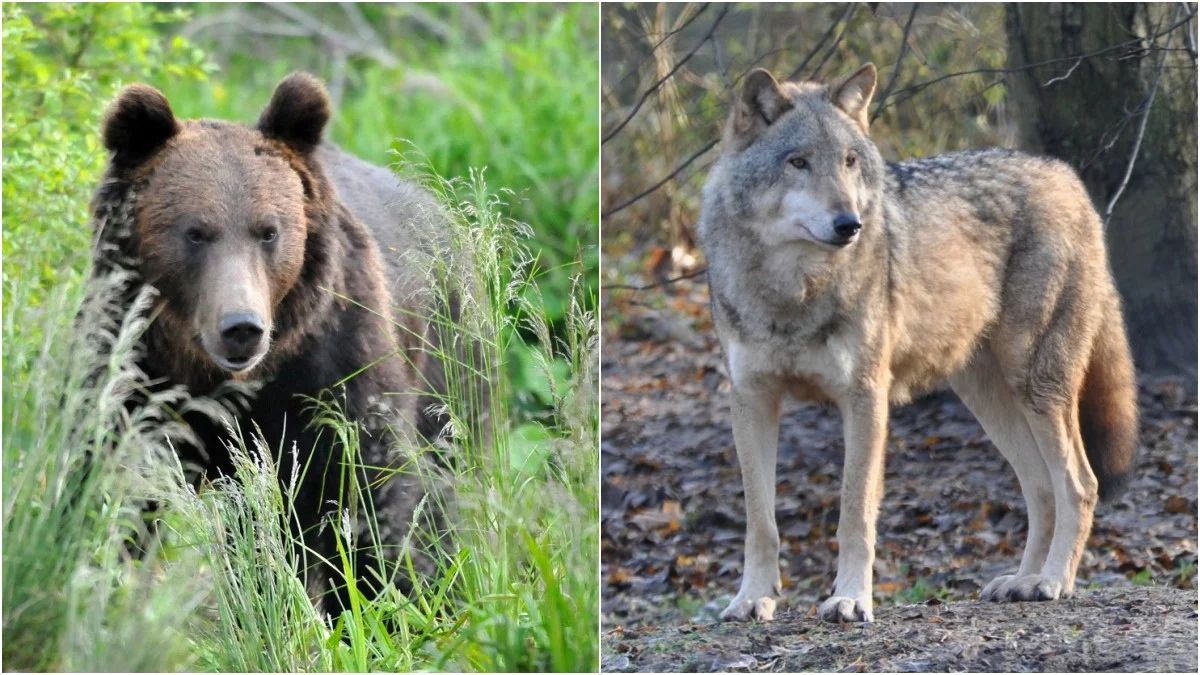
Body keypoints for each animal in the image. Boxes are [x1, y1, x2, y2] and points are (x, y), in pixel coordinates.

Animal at [87, 73, 453, 614]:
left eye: (268, 231)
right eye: (195, 232)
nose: (241, 326)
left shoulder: (334, 364)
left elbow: (371, 486)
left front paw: (385, 602)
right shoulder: (134, 364)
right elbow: (118, 484)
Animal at [696, 63, 1132, 619]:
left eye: (849, 162)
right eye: (797, 163)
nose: (850, 224)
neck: (794, 290)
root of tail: (1066, 176)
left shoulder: (865, 397)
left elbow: (854, 513)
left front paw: (850, 599)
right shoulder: (751, 400)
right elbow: (760, 521)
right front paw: (753, 599)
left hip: (1037, 387)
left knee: (1079, 484)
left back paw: (1052, 581)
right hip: (993, 402)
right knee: (1041, 489)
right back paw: (1021, 579)